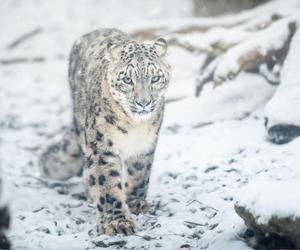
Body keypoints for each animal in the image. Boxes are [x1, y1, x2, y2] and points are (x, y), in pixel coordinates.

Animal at [39, 28, 170, 234]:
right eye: (127, 79)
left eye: (155, 78)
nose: (143, 102)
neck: (135, 126)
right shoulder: (102, 146)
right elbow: (106, 182)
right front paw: (116, 222)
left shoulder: (145, 145)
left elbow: (140, 174)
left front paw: (136, 203)